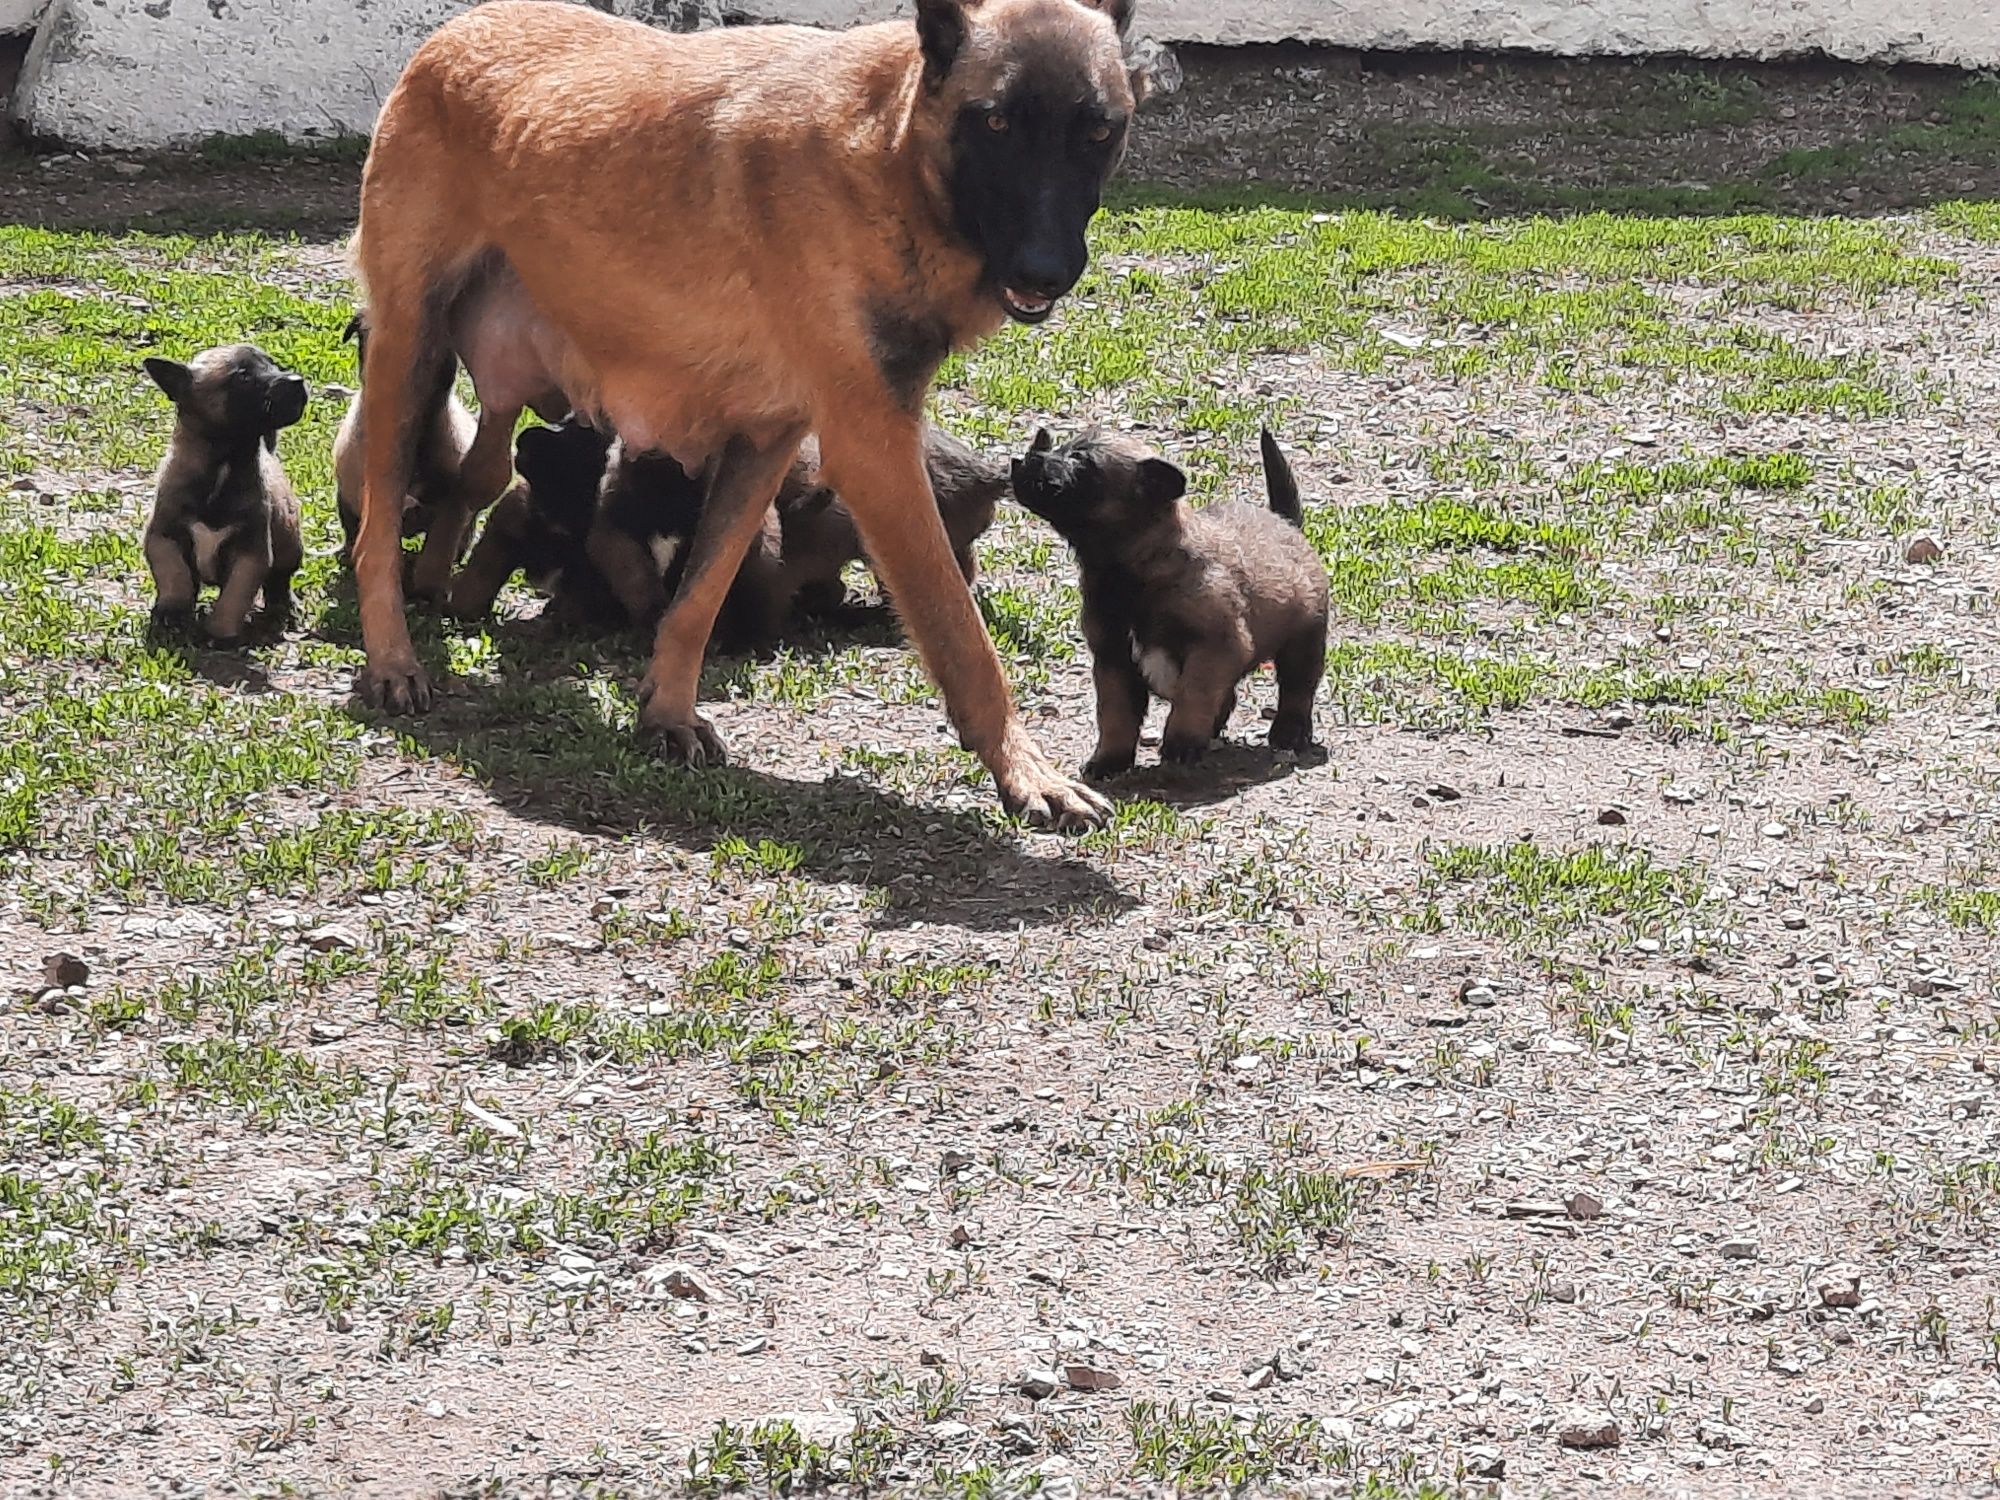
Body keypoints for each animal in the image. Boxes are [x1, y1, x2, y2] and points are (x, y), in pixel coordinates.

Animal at [142, 346, 308, 648]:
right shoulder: (164, 537)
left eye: (273, 365)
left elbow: (235, 595)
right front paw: (172, 615)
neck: (225, 463)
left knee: (279, 581)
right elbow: (175, 574)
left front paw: (220, 632)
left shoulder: (250, 554)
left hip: (289, 544)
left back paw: (283, 608)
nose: (297, 381)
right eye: (243, 377)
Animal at [1016, 424, 1328, 776]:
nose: (1026, 459)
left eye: (1083, 464)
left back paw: (1289, 732)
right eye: (1061, 448)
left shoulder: (1213, 649)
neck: (1135, 568)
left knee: (1297, 690)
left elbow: (1193, 696)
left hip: (1303, 642)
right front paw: (1109, 759)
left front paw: (1181, 743)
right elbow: (1115, 716)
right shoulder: (1113, 661)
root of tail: (1287, 524)